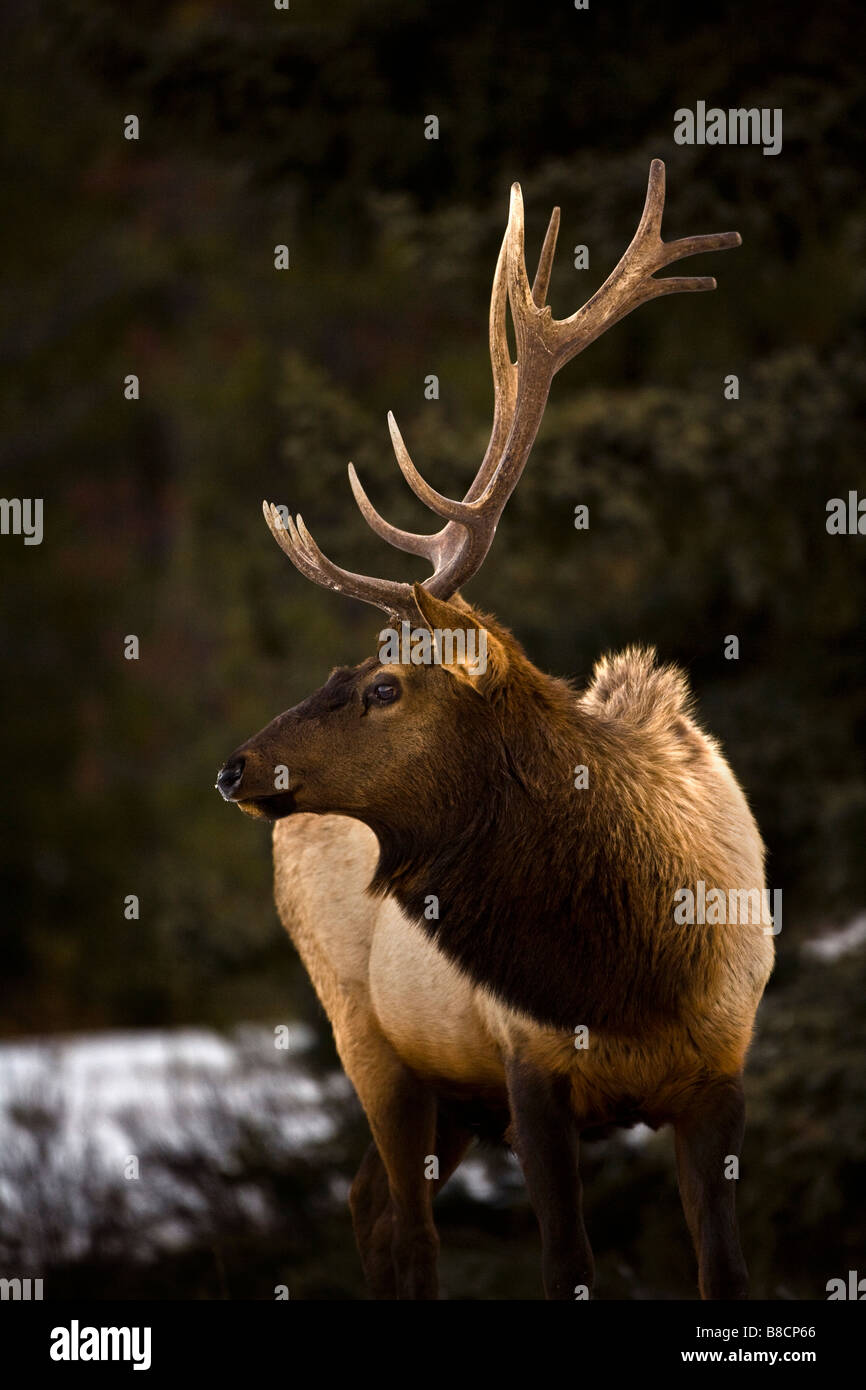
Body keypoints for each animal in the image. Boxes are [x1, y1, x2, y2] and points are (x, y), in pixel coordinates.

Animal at [219, 162, 778, 1301]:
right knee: (407, 1227)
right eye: (340, 671)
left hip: (446, 1091)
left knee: (369, 1206)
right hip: (371, 1039)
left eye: (384, 685)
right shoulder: (527, 1069)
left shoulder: (720, 1071)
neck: (634, 974)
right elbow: (565, 1266)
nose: (237, 765)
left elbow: (724, 1270)